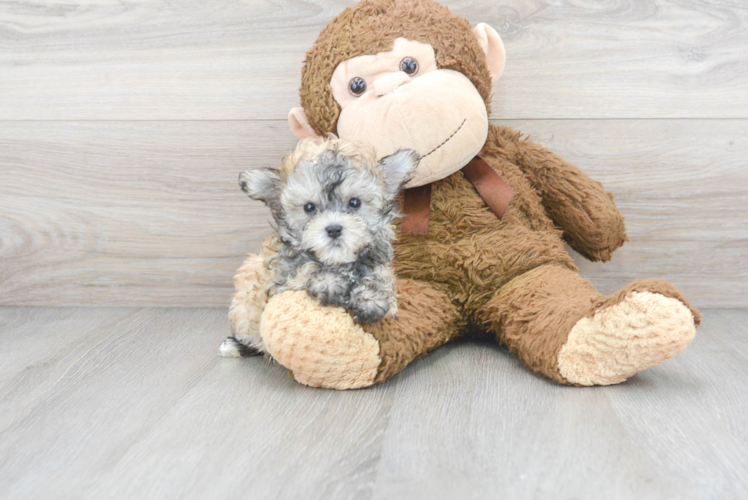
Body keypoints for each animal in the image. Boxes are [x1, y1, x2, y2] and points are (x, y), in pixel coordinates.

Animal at [222, 137, 418, 356]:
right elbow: (306, 270)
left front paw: (371, 297)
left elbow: (379, 281)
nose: (333, 229)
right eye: (309, 207)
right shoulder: (282, 281)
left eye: (354, 202)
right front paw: (328, 281)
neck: (339, 263)